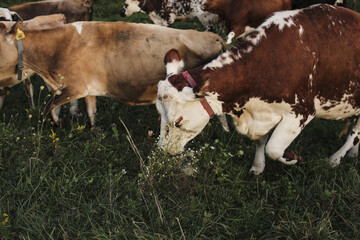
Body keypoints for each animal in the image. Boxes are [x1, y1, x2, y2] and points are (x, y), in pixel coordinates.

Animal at [0, 20, 225, 125]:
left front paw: (59, 124)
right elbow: (90, 111)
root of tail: (211, 35)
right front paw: (93, 131)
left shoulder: (74, 88)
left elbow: (48, 107)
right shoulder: (86, 89)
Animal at [156, 4, 360, 174]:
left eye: (178, 122)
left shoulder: (301, 112)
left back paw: (336, 159)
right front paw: (258, 167)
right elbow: (261, 141)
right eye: (160, 116)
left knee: (354, 134)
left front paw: (294, 158)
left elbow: (274, 149)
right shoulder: (259, 111)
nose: (164, 150)